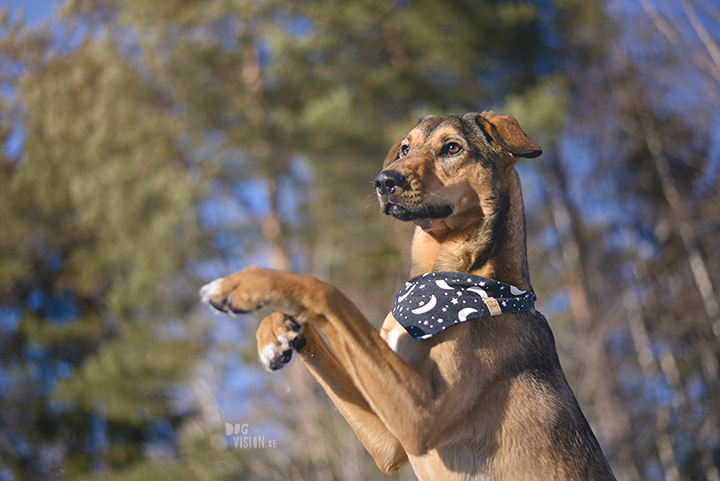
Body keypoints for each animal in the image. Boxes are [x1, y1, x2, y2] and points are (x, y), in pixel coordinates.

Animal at [200, 110, 616, 478]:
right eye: (404, 148)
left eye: (452, 148)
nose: (383, 181)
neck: (448, 275)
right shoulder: (391, 442)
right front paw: (277, 332)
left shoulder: (420, 415)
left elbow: (329, 292)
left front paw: (245, 283)